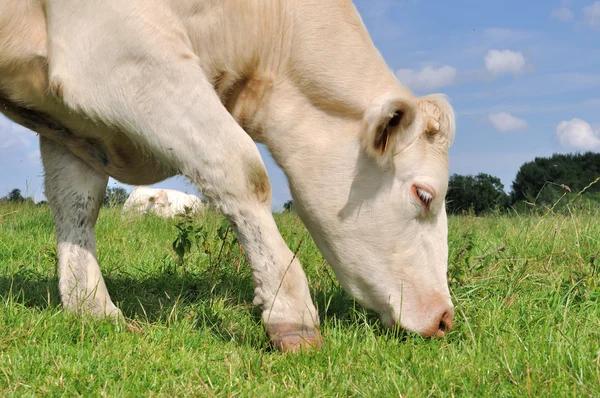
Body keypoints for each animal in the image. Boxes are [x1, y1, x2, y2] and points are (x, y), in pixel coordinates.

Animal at [0, 1, 458, 352]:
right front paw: (290, 313)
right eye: (424, 194)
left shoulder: (70, 124)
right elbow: (241, 168)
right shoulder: (117, 58)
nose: (444, 318)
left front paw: (91, 308)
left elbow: (77, 204)